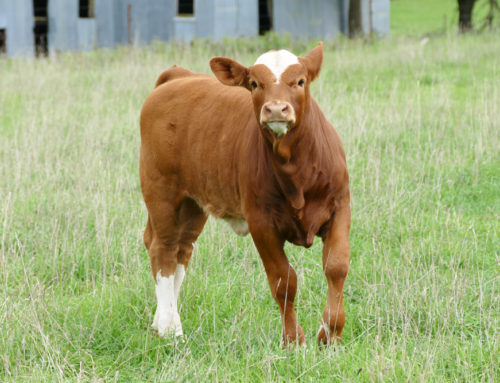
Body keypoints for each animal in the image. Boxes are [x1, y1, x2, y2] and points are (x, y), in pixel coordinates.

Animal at [139, 43, 350, 346]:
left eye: (300, 81)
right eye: (254, 83)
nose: (276, 108)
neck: (297, 171)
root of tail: (179, 75)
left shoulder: (340, 206)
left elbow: (336, 267)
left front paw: (330, 333)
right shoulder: (261, 223)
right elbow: (283, 281)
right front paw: (293, 340)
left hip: (192, 204)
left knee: (182, 249)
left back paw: (160, 321)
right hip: (162, 193)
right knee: (163, 249)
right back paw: (170, 327)